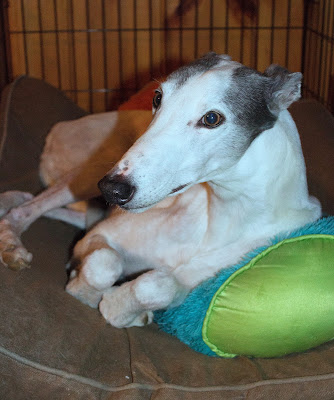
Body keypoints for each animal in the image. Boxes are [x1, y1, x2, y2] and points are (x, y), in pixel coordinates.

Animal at [0, 53, 320, 328]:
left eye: (212, 118)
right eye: (157, 97)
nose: (112, 190)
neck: (219, 214)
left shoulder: (194, 285)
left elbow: (158, 285)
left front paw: (119, 307)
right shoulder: (99, 236)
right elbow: (104, 263)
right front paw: (85, 290)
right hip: (90, 170)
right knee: (26, 209)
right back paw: (12, 244)